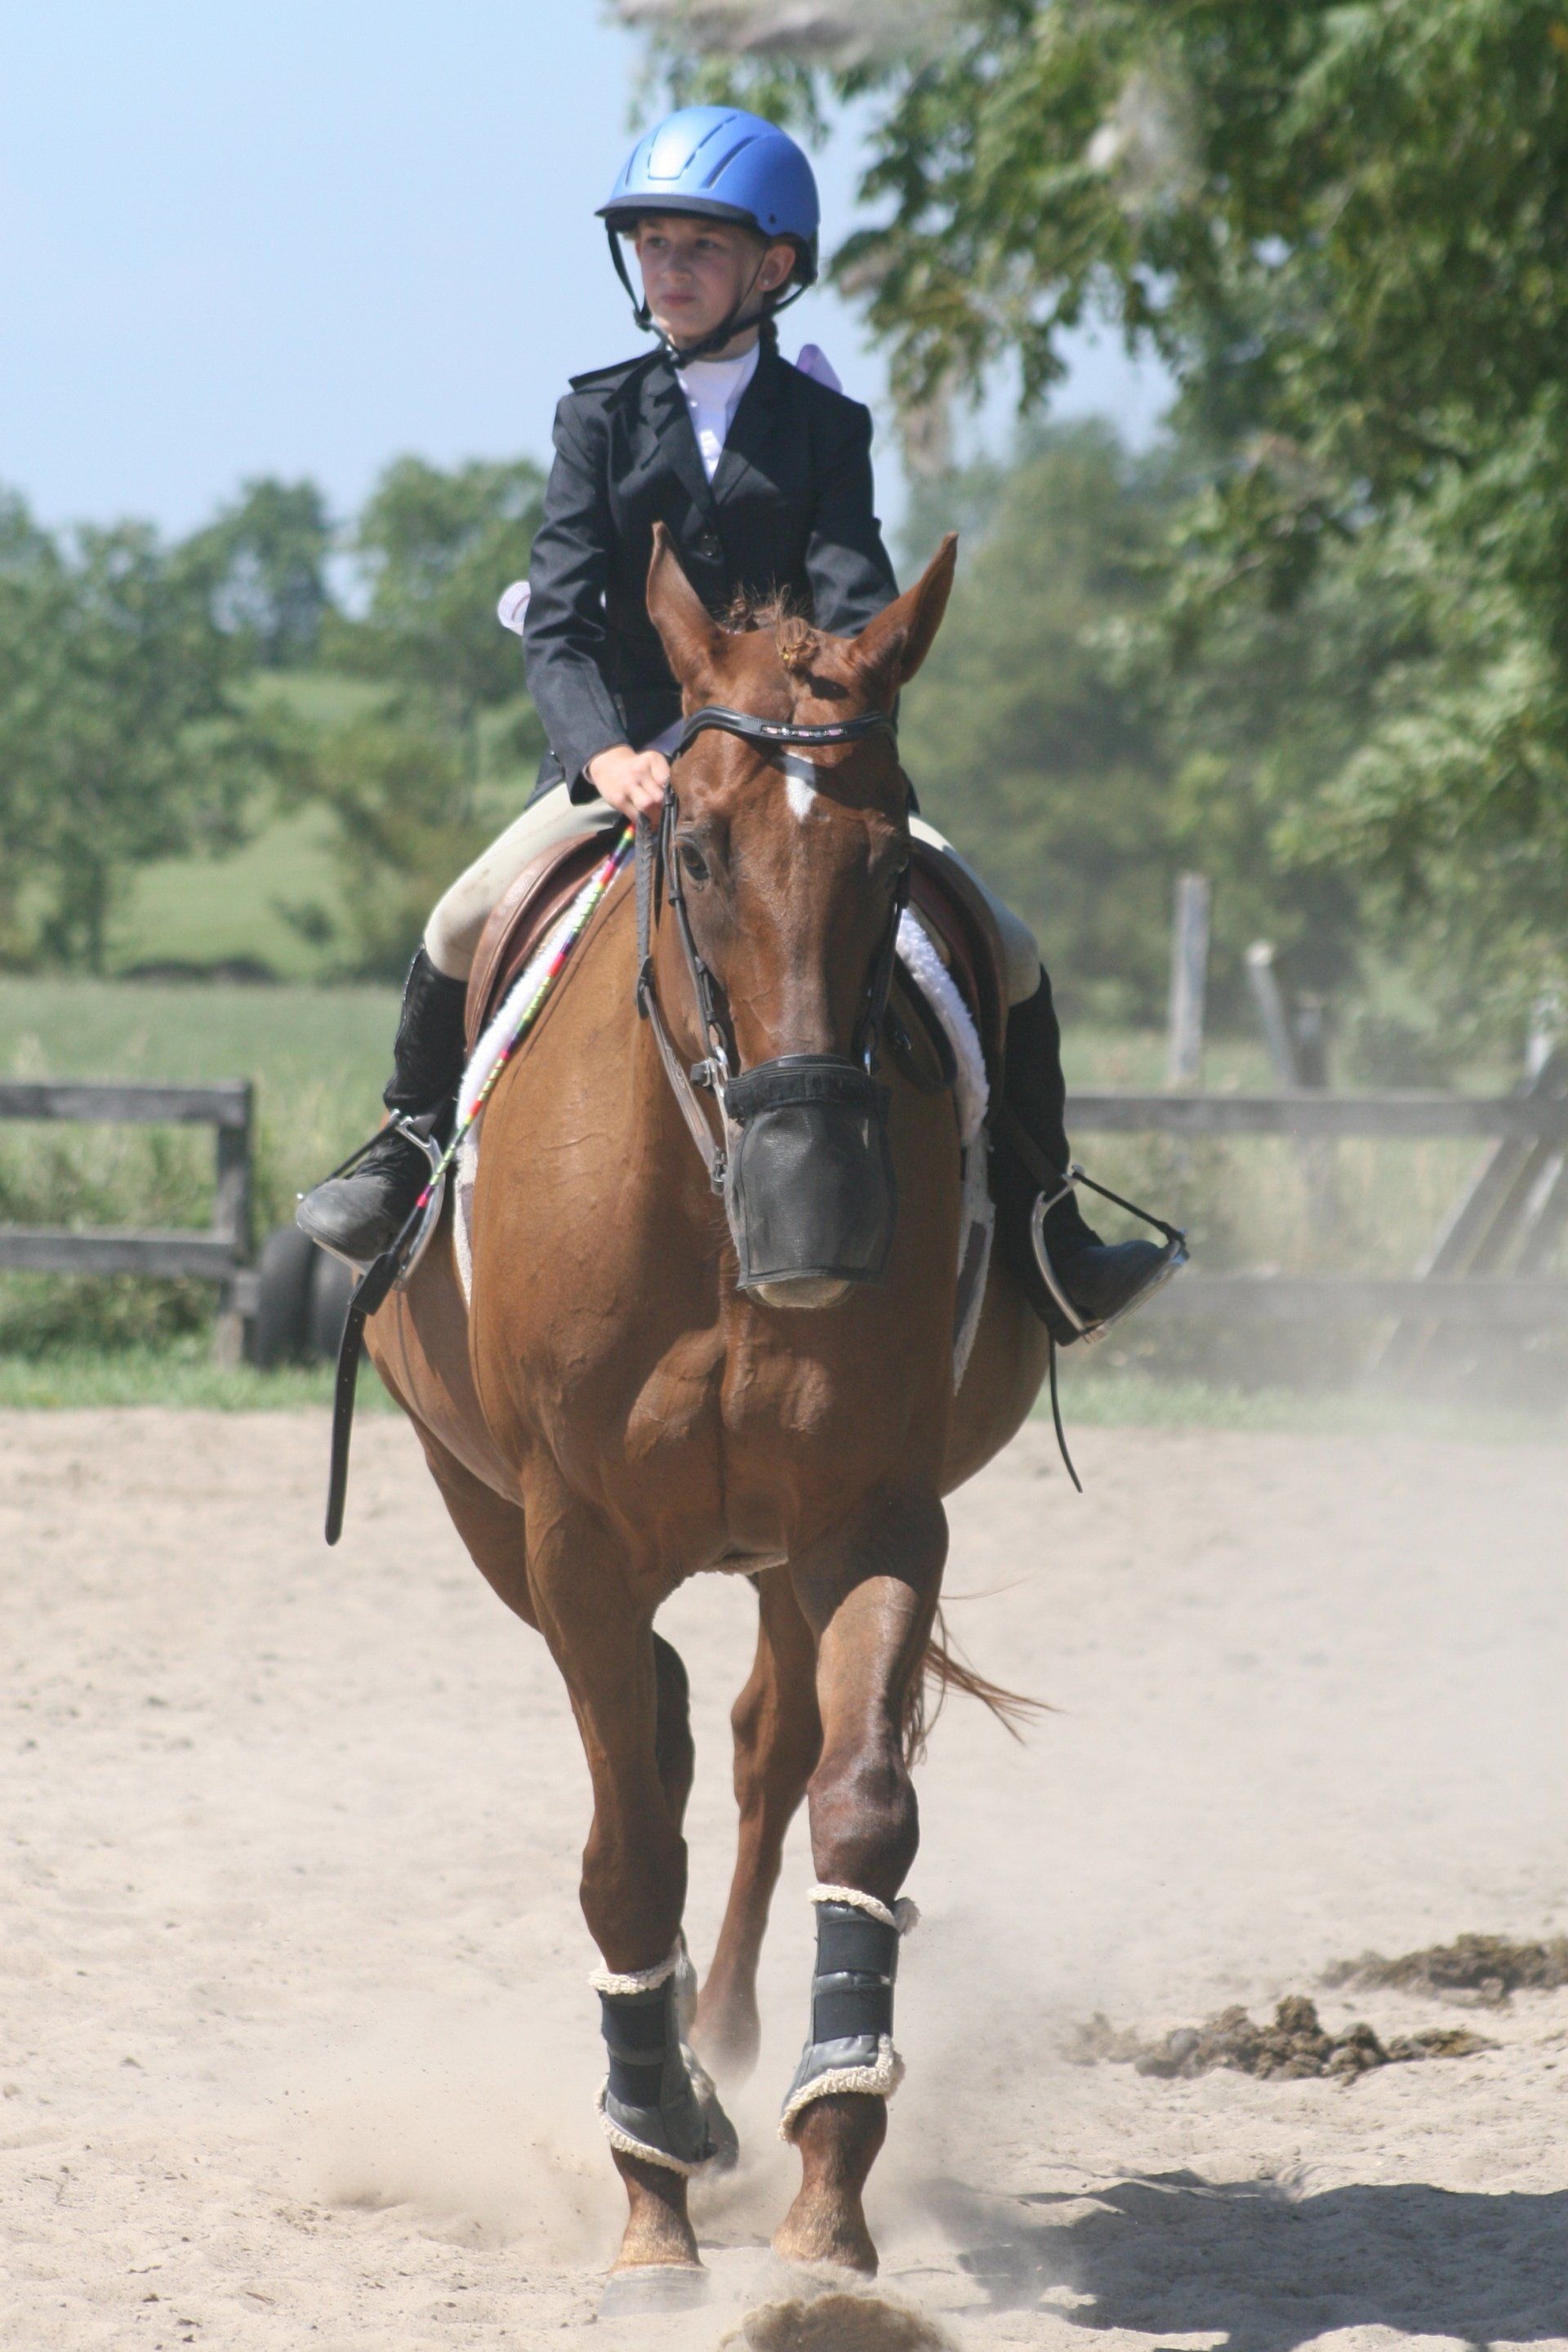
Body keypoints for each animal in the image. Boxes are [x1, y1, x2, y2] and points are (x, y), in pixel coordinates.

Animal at [363, 523, 1049, 2297]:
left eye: (890, 862)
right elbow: (624, 1851)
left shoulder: (876, 1517)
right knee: (665, 1749)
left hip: (779, 1552)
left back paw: (733, 2050)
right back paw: (677, 2086)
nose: (818, 1209)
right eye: (697, 850)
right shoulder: (571, 1539)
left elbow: (860, 1811)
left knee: (756, 1746)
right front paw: (651, 2186)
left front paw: (829, 2166)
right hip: (504, 1529)